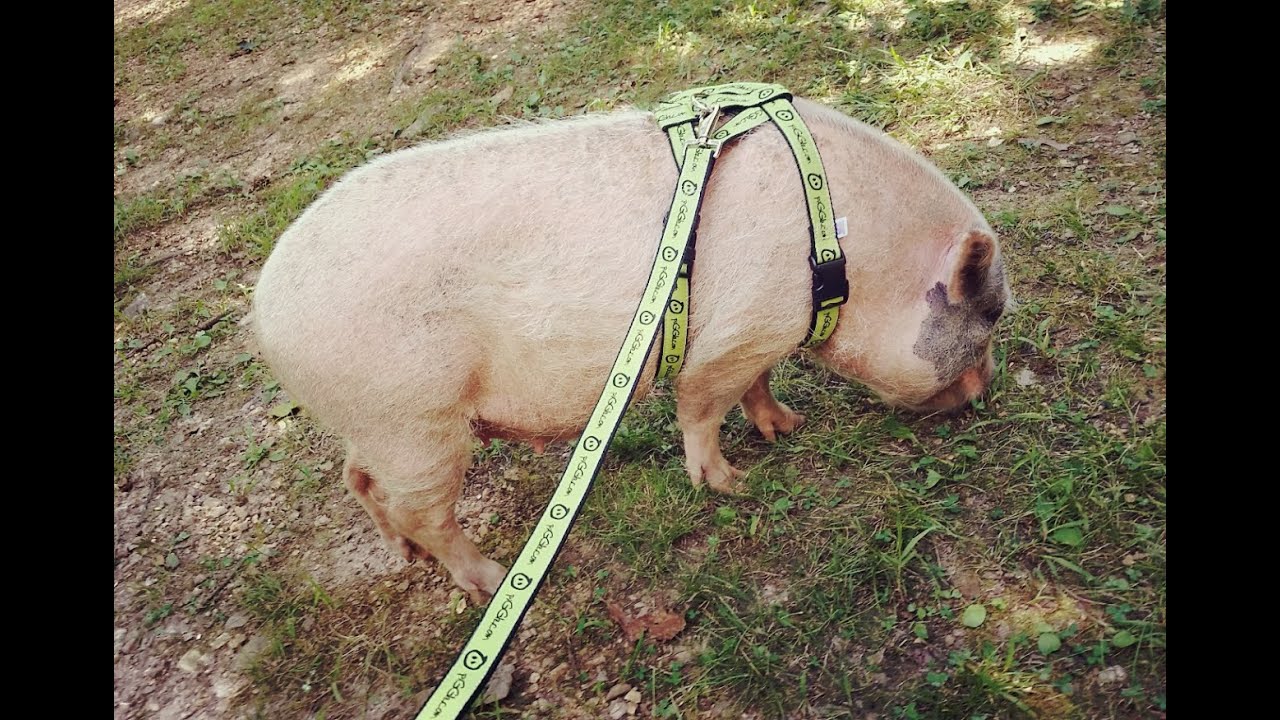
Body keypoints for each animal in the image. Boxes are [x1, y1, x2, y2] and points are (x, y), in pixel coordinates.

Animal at [250, 95, 1011, 603]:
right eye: (989, 316)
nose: (987, 390)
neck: (841, 255)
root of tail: (265, 313)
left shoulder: (761, 336)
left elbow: (759, 386)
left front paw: (789, 428)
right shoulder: (730, 339)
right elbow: (701, 408)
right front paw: (732, 484)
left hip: (376, 423)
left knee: (358, 480)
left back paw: (400, 554)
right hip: (415, 420)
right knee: (421, 508)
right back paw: (489, 581)